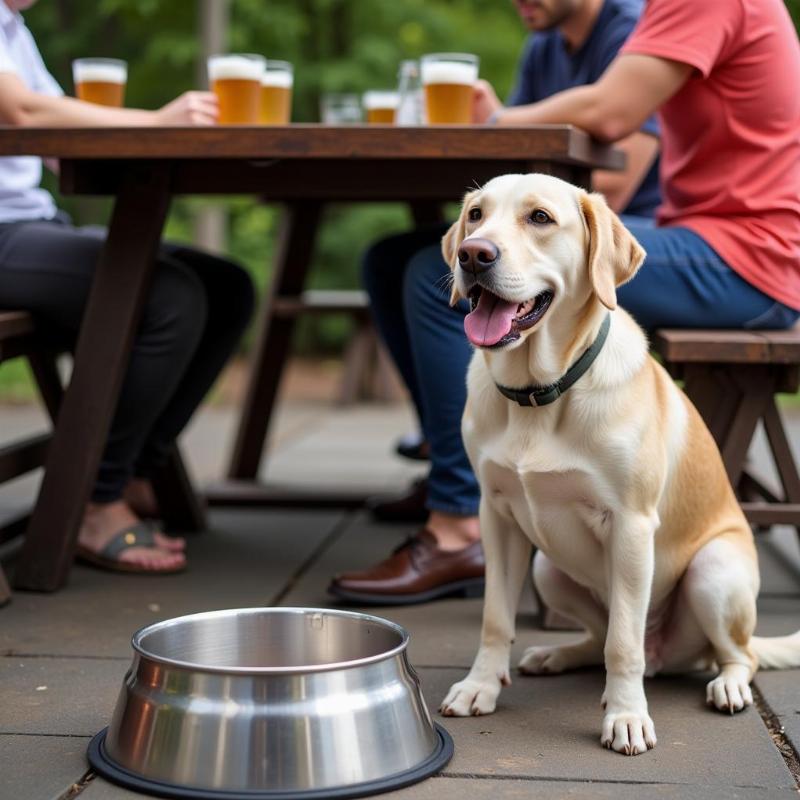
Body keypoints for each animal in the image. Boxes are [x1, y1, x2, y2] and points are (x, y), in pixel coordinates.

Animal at [438, 173, 800, 756]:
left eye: (539, 218)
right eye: (475, 215)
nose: (473, 254)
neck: (541, 392)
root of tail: (667, 658)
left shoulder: (631, 525)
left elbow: (623, 643)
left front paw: (627, 716)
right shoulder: (496, 516)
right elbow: (496, 618)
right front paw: (480, 686)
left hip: (713, 573)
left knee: (731, 655)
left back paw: (724, 685)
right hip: (548, 569)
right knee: (597, 638)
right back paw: (559, 654)